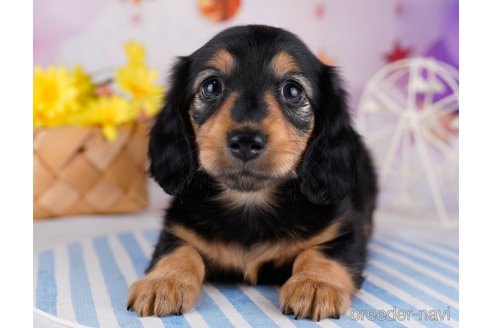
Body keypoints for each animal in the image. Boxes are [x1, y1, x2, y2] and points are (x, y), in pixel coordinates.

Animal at [127, 25, 376, 320]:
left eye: (292, 91)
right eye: (211, 86)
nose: (245, 140)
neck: (250, 203)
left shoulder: (343, 232)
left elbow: (322, 254)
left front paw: (315, 284)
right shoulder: (176, 229)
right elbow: (179, 251)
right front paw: (163, 281)